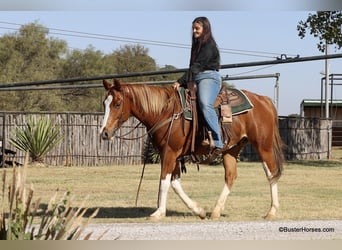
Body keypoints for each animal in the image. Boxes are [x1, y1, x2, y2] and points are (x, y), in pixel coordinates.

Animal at [100, 79, 284, 220]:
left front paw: (159, 212)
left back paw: (272, 211)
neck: (166, 112)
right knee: (231, 176)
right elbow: (175, 183)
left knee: (271, 173)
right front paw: (199, 210)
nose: (105, 133)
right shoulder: (172, 154)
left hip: (263, 146)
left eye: (117, 104)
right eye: (104, 104)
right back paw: (215, 211)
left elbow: (165, 181)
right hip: (232, 149)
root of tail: (264, 100)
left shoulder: (170, 153)